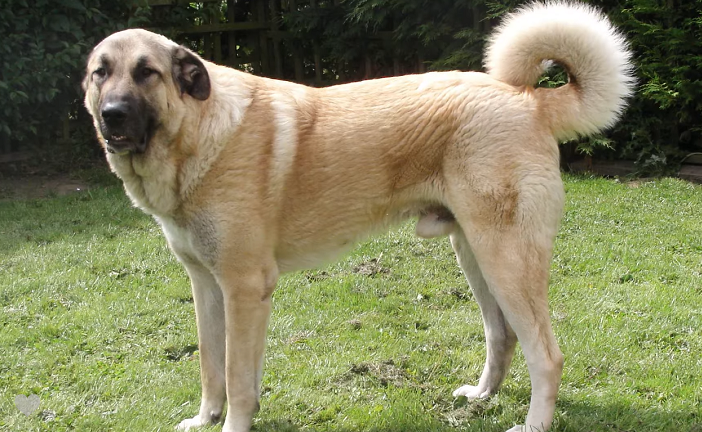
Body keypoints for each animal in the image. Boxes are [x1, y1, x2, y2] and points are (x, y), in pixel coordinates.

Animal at [84, 3, 640, 432]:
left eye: (147, 72)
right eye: (100, 72)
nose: (111, 114)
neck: (197, 132)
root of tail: (530, 99)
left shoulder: (244, 288)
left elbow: (239, 378)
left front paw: (232, 424)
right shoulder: (207, 286)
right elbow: (211, 367)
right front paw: (205, 420)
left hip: (506, 261)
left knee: (546, 356)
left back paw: (532, 423)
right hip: (475, 255)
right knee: (500, 336)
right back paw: (481, 397)